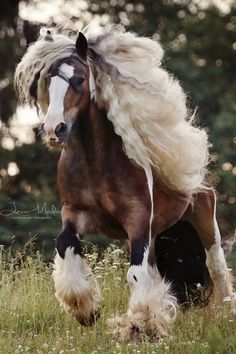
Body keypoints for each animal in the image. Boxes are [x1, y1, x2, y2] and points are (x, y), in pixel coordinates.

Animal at [14, 25, 234, 340]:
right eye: (48, 80)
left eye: (78, 79)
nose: (54, 129)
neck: (95, 161)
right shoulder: (76, 212)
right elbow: (65, 244)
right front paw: (85, 309)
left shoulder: (137, 217)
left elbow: (135, 273)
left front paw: (139, 325)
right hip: (156, 234)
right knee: (157, 271)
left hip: (203, 214)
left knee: (215, 264)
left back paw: (225, 312)